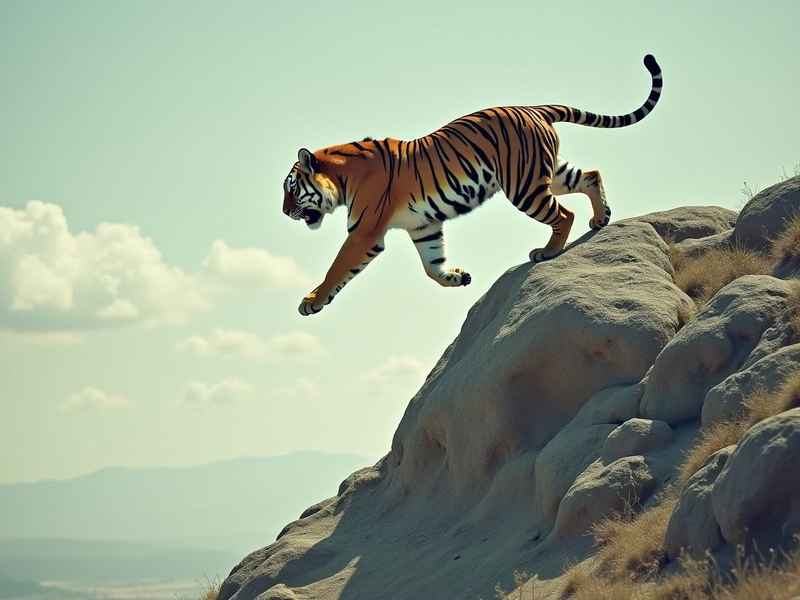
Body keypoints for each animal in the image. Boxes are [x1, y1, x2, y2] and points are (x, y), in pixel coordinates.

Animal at [282, 54, 662, 316]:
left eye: (291, 188)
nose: (285, 213)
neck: (343, 179)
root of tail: (534, 108)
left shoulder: (364, 232)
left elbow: (338, 266)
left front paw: (311, 300)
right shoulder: (423, 226)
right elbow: (430, 266)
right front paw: (457, 277)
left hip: (524, 187)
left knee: (564, 214)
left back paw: (548, 251)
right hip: (547, 174)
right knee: (591, 175)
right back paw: (600, 218)